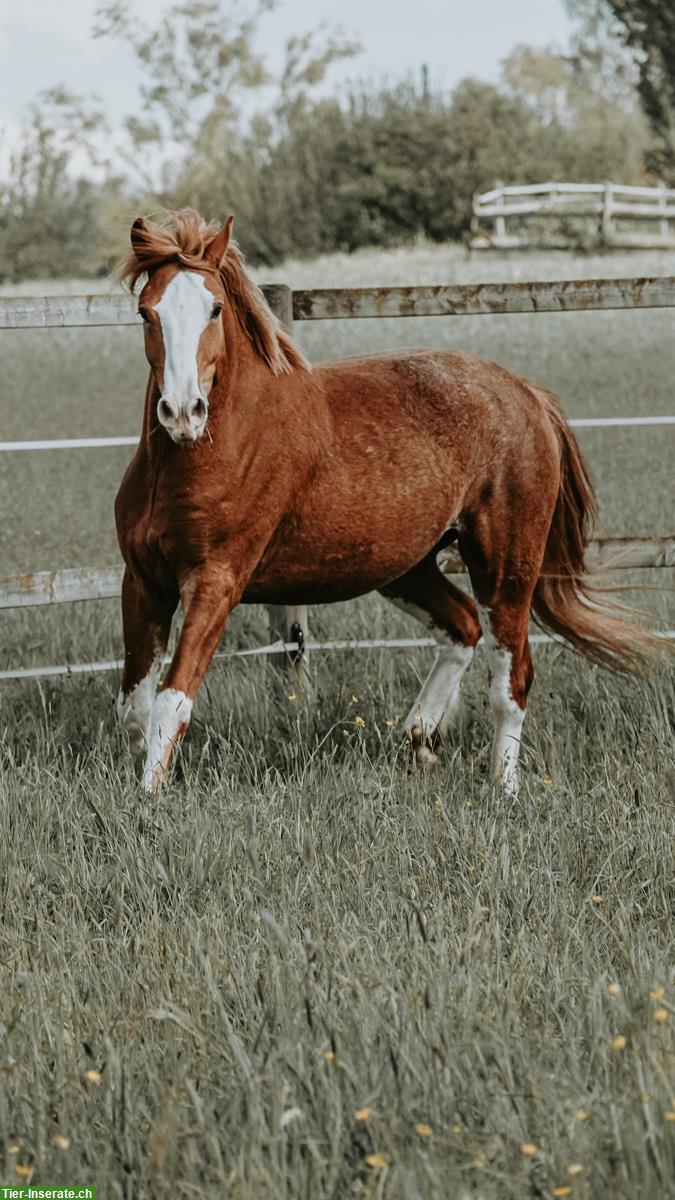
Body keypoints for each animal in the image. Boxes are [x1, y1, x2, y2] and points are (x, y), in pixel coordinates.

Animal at [115, 211, 658, 792]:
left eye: (214, 308)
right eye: (146, 311)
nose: (182, 412)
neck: (206, 453)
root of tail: (526, 394)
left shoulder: (215, 581)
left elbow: (172, 701)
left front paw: (148, 799)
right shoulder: (144, 582)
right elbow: (133, 705)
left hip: (506, 565)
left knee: (511, 679)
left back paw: (502, 788)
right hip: (405, 566)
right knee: (462, 627)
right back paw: (419, 741)